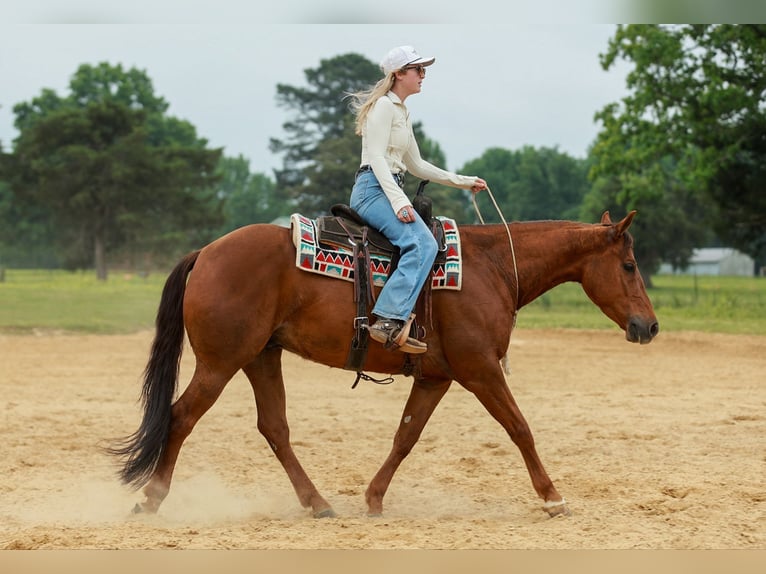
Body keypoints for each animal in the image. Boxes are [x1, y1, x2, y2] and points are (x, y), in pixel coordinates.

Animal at [108, 210, 658, 519]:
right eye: (629, 265)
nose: (649, 326)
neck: (493, 267)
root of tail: (206, 252)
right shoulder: (480, 370)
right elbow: (520, 428)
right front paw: (552, 498)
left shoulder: (437, 378)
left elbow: (406, 436)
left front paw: (373, 499)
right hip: (221, 363)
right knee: (181, 417)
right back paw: (151, 499)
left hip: (262, 357)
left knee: (275, 428)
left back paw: (319, 504)